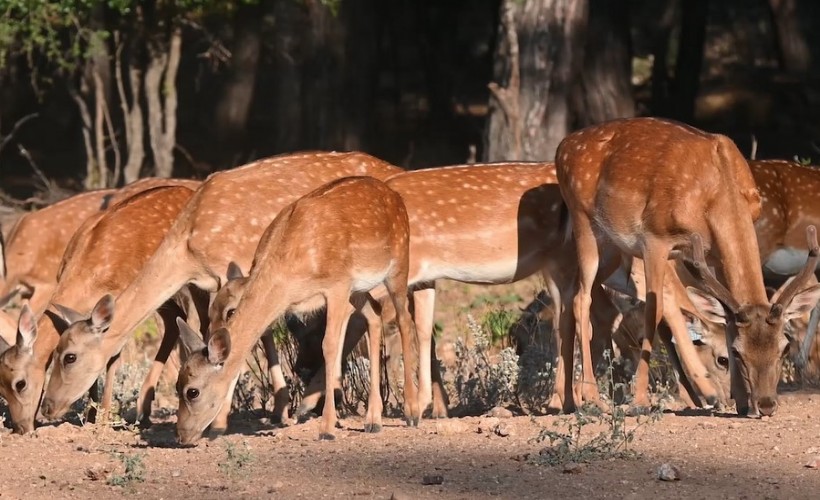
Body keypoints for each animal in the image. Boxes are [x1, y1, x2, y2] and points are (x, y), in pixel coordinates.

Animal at [556, 118, 820, 418]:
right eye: (737, 353)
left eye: (783, 348)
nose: (765, 405)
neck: (716, 195)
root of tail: (562, 146)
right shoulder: (654, 238)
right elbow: (654, 312)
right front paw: (639, 401)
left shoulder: (714, 256)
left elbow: (726, 319)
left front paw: (740, 402)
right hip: (584, 222)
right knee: (581, 299)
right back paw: (591, 397)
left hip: (612, 248)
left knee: (570, 298)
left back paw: (567, 401)